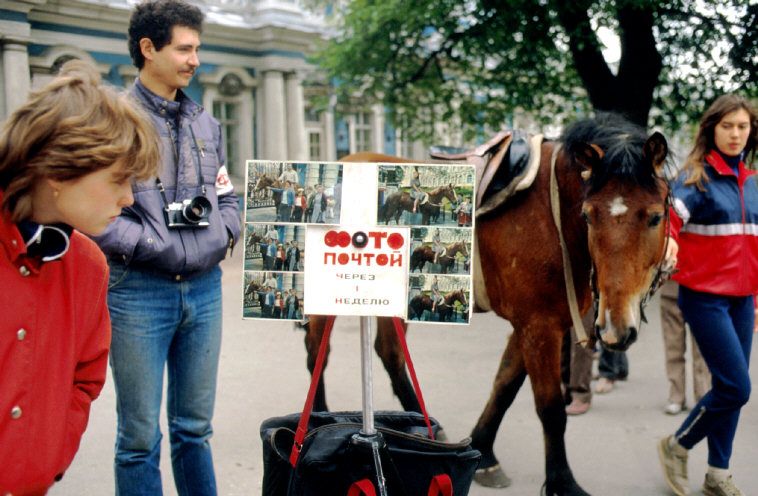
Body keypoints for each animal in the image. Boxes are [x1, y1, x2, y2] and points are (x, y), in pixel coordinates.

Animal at [302, 114, 672, 494]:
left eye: (655, 216)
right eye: (588, 215)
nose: (614, 328)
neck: (552, 213)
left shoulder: (538, 324)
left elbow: (504, 386)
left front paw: (485, 452)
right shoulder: (539, 326)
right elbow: (550, 408)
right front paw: (562, 481)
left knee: (388, 352)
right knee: (318, 353)